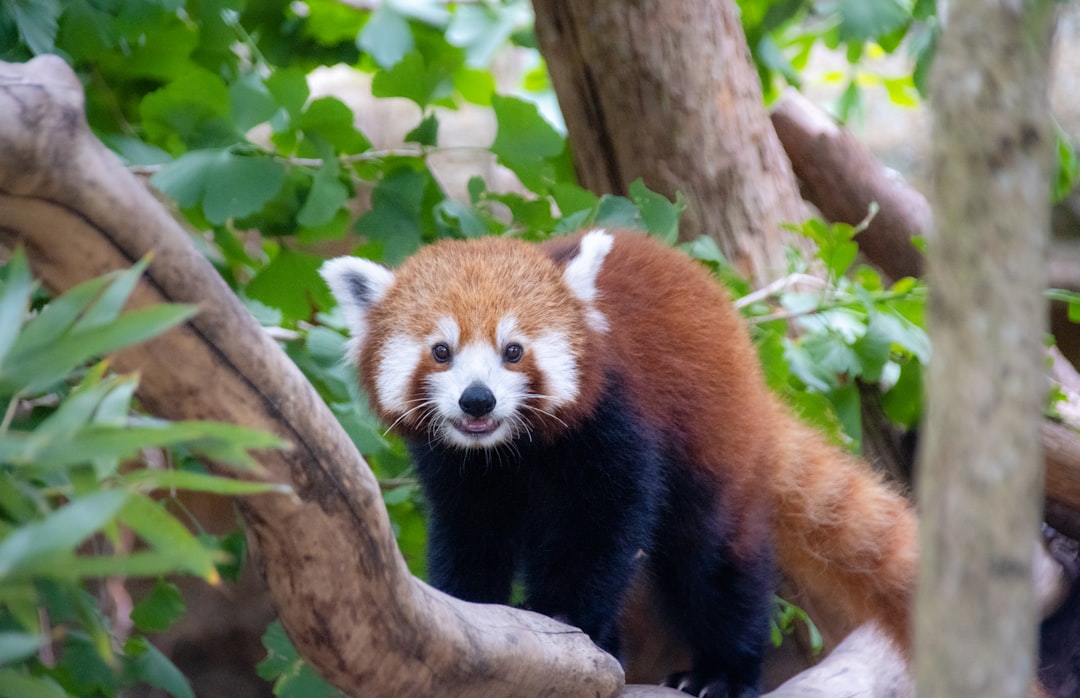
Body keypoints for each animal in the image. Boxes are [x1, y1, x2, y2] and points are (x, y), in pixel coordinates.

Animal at [319, 231, 920, 698]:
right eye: (441, 351)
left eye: (513, 351)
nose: (477, 401)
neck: (511, 451)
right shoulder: (458, 470)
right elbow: (470, 537)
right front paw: (477, 613)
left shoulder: (614, 425)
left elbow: (604, 527)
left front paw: (565, 617)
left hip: (715, 438)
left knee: (712, 557)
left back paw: (723, 671)